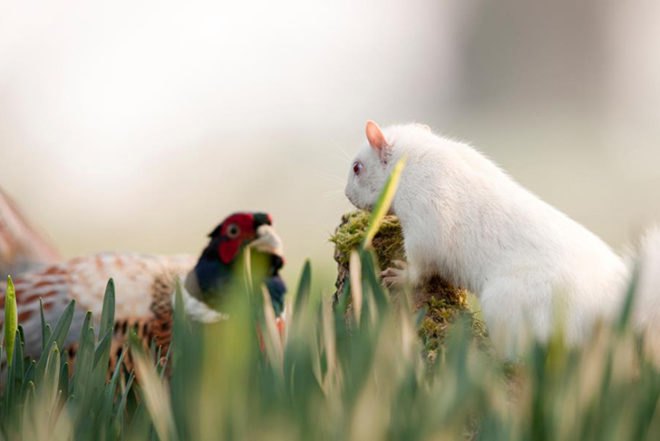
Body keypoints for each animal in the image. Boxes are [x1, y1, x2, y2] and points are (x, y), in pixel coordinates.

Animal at [345, 120, 660, 358]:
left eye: (357, 168)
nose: (347, 195)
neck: (412, 160)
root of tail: (612, 300)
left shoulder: (427, 219)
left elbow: (423, 262)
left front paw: (401, 275)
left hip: (512, 305)